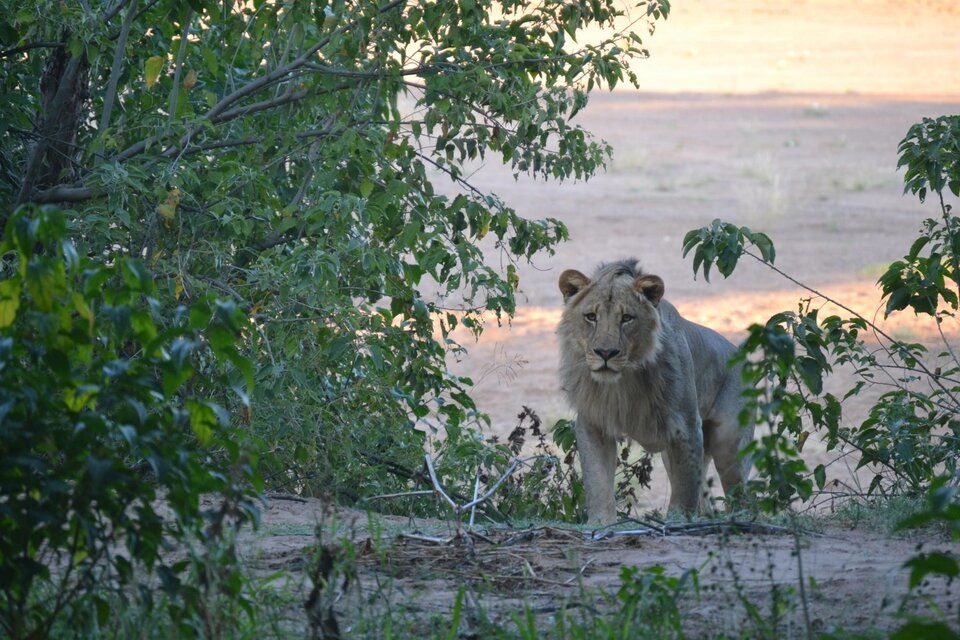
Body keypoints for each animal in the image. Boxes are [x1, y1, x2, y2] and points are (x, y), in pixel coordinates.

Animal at [560, 258, 752, 524]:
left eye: (627, 318)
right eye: (590, 317)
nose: (605, 353)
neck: (623, 380)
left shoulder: (686, 425)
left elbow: (685, 489)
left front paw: (678, 520)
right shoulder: (593, 422)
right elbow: (597, 479)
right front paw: (600, 523)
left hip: (729, 446)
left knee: (741, 495)